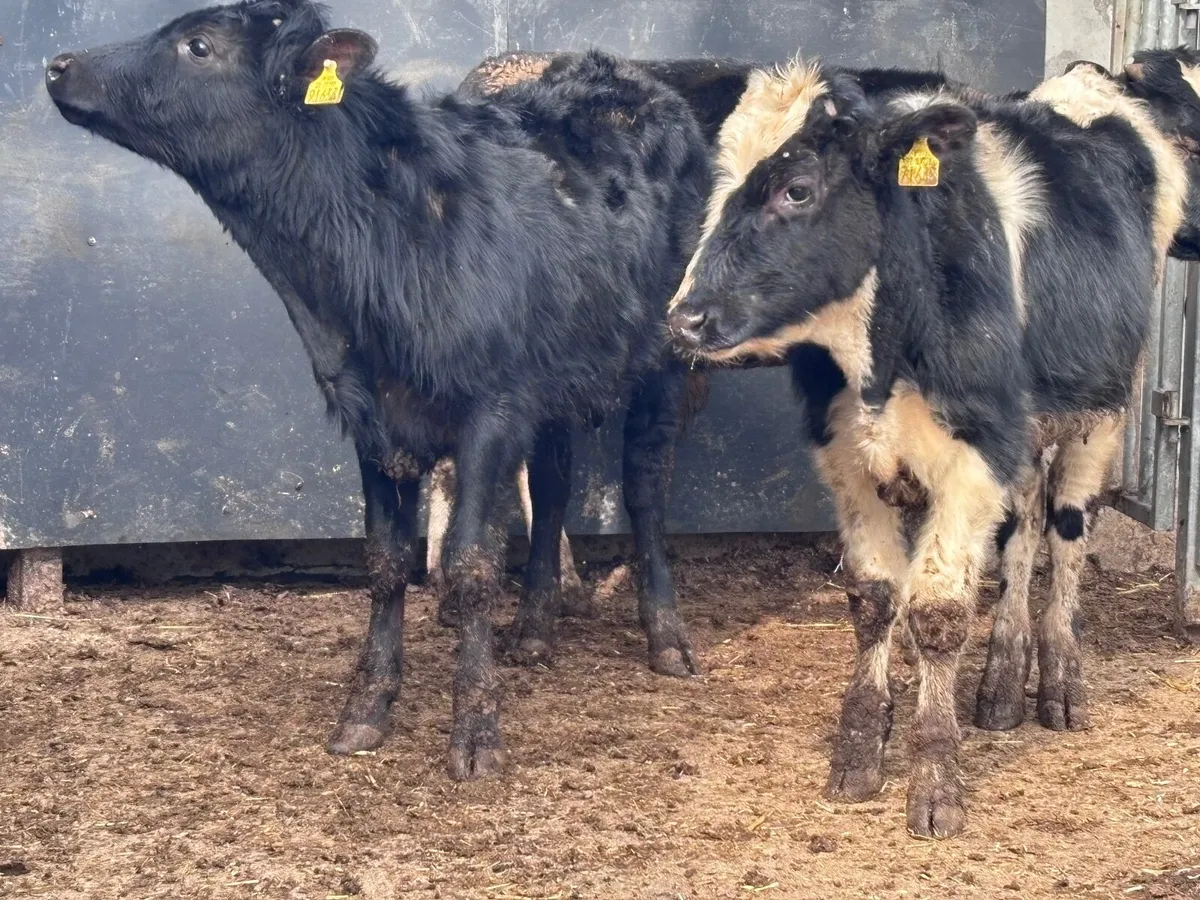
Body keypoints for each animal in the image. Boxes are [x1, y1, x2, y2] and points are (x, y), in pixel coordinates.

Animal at [46, 0, 711, 778]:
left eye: (199, 46)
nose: (58, 65)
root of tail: (625, 75)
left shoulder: (490, 408)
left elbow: (469, 562)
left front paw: (476, 733)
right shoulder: (371, 413)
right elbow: (387, 562)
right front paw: (366, 708)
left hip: (668, 353)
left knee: (644, 486)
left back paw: (666, 637)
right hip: (557, 375)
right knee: (552, 486)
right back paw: (534, 631)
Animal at [667, 53, 1200, 836]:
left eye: (798, 190)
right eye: (716, 186)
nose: (687, 318)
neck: (883, 353)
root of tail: (1089, 82)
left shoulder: (975, 457)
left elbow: (940, 612)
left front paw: (935, 777)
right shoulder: (845, 456)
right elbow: (875, 598)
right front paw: (861, 746)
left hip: (1103, 409)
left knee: (1066, 531)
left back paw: (1059, 681)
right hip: (1021, 435)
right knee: (1021, 534)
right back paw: (1003, 683)